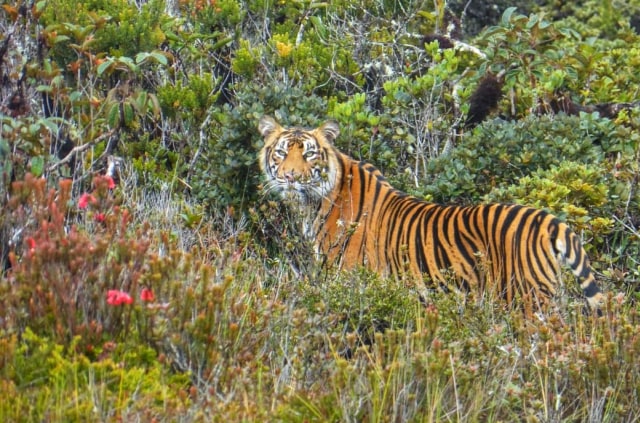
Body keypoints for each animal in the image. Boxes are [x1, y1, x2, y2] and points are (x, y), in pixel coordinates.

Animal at [258, 115, 604, 312]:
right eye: (281, 152)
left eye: (309, 155)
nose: (290, 176)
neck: (315, 201)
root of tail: (547, 219)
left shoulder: (350, 283)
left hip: (529, 300)